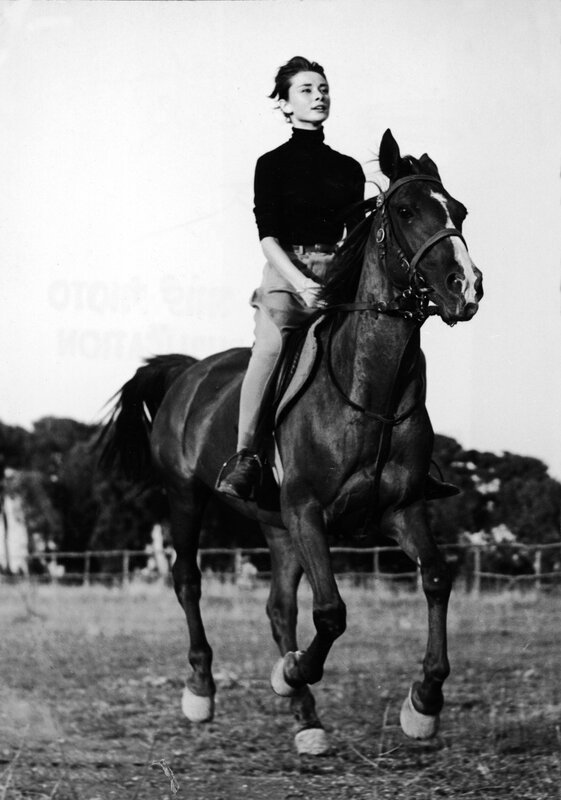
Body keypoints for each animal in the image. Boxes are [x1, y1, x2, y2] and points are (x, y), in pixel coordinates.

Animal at [99, 129, 483, 755]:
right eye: (405, 211)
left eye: (461, 211)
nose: (466, 287)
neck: (367, 389)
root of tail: (188, 370)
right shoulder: (307, 510)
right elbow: (329, 613)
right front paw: (294, 670)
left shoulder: (401, 509)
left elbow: (434, 578)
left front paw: (423, 704)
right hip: (187, 497)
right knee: (189, 581)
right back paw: (203, 691)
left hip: (276, 525)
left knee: (278, 606)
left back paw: (306, 719)